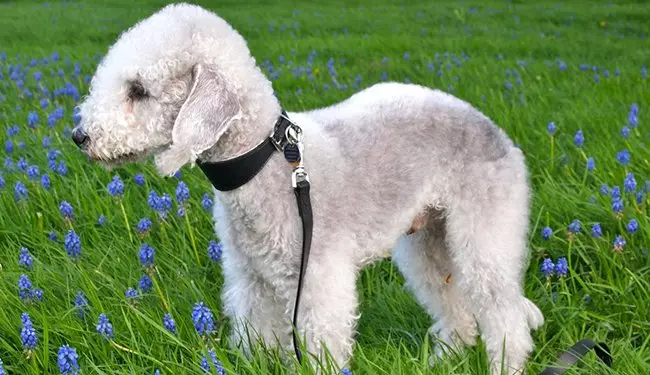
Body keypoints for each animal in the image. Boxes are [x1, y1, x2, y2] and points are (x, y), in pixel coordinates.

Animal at [72, 2, 540, 374]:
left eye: (138, 90)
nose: (80, 136)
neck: (264, 161)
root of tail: (495, 129)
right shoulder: (251, 280)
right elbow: (258, 337)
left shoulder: (317, 280)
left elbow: (322, 341)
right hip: (429, 239)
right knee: (454, 304)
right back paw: (444, 357)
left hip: (484, 233)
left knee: (504, 313)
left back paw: (507, 364)